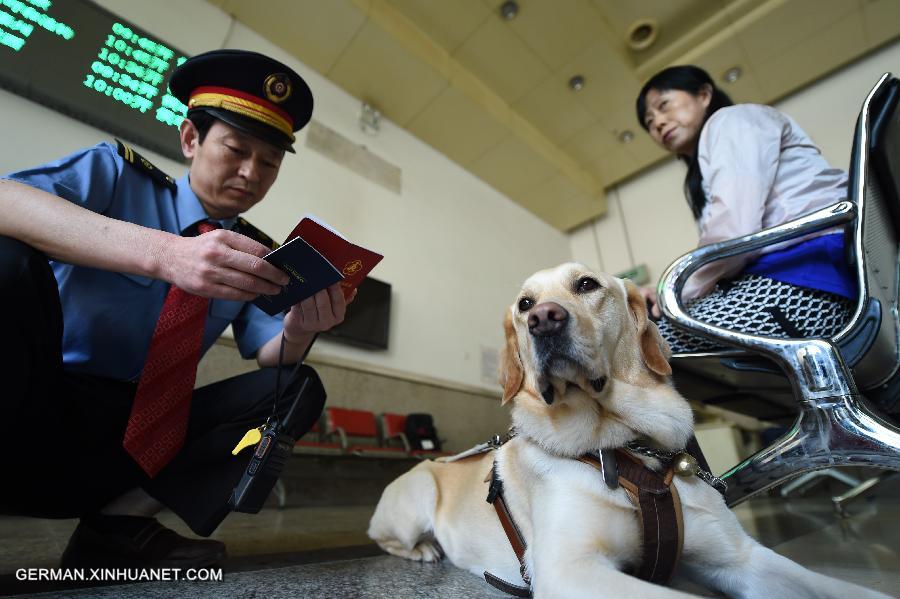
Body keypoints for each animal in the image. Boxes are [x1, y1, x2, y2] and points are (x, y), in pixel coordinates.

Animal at [370, 264, 888, 599]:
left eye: (586, 285)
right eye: (524, 304)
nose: (543, 319)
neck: (622, 446)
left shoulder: (741, 557)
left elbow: (839, 588)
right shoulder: (570, 568)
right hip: (417, 493)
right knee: (386, 537)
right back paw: (424, 549)